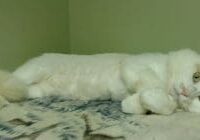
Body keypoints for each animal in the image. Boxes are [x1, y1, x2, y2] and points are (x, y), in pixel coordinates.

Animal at [0, 48, 200, 115]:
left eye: (198, 99)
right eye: (196, 76)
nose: (186, 93)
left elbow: (147, 105)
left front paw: (136, 103)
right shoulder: (133, 65)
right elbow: (154, 88)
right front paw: (157, 97)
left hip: (34, 90)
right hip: (31, 73)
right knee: (8, 80)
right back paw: (3, 104)